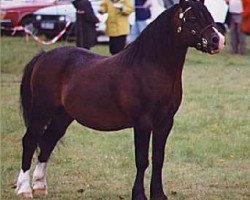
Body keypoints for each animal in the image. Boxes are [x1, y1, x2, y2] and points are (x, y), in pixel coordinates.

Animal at [16, 0, 225, 199]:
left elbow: (158, 158)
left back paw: (40, 186)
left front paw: (159, 194)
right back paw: (24, 189)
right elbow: (142, 159)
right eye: (192, 19)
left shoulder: (165, 122)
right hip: (41, 111)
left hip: (62, 116)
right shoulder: (143, 123)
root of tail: (44, 56)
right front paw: (139, 194)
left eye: (209, 15)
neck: (151, 67)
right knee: (30, 141)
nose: (218, 40)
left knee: (47, 143)